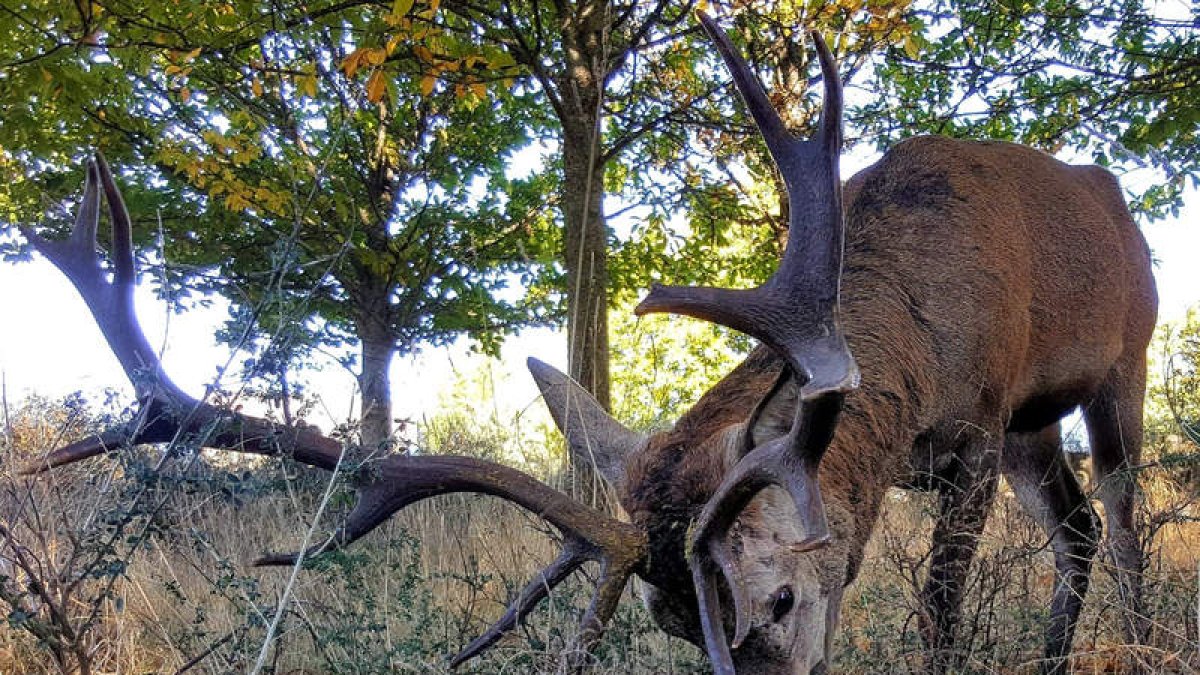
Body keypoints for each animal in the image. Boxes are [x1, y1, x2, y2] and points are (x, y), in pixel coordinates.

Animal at [18, 12, 1155, 675]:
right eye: (670, 620)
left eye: (780, 597)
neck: (912, 347)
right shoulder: (975, 437)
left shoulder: (977, 425)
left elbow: (939, 610)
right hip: (1036, 433)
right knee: (1075, 529)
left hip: (1120, 367)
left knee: (1123, 520)